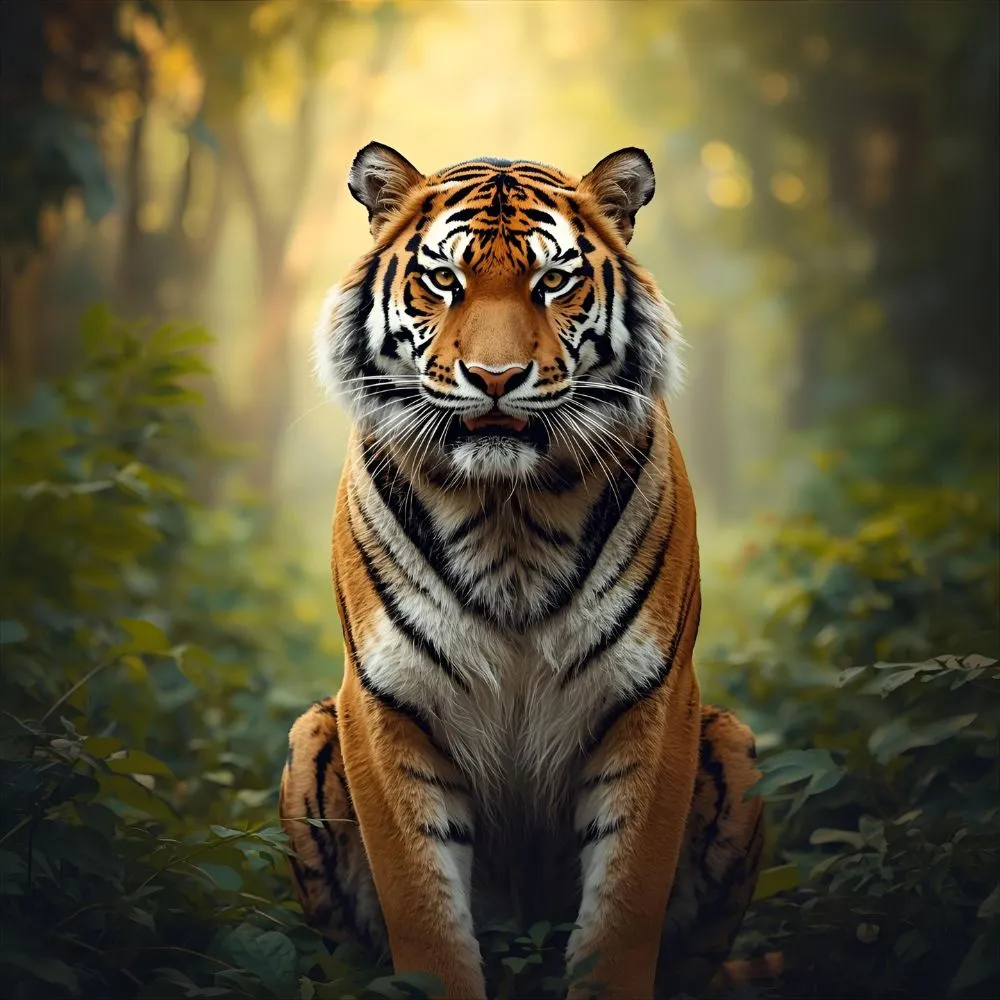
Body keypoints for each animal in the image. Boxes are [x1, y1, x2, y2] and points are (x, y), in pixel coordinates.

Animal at [280, 142, 765, 1000]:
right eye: (444, 279)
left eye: (555, 281)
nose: (497, 377)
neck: (507, 513)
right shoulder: (386, 702)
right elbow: (425, 921)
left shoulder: (653, 701)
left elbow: (623, 917)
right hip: (307, 740)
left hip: (733, 743)